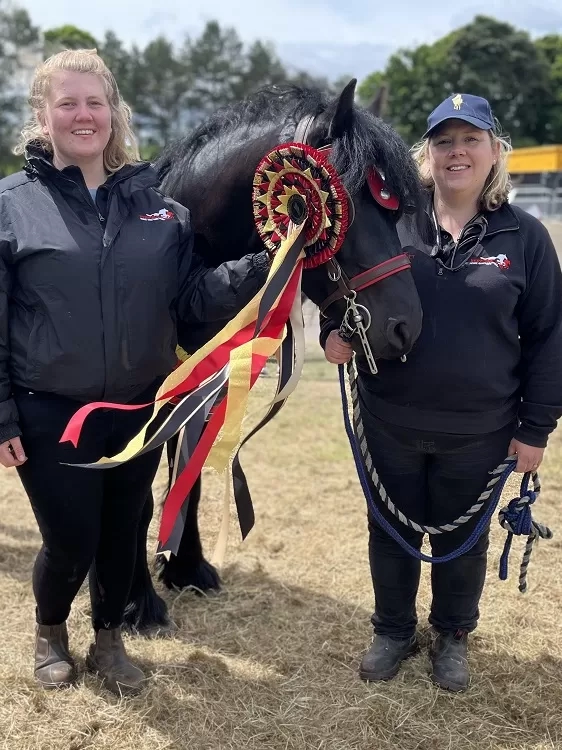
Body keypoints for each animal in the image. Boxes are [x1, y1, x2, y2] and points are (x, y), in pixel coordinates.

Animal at [122, 78, 429, 636]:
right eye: (349, 206)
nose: (405, 327)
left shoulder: (200, 388)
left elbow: (188, 475)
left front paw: (186, 568)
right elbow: (135, 497)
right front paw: (139, 604)